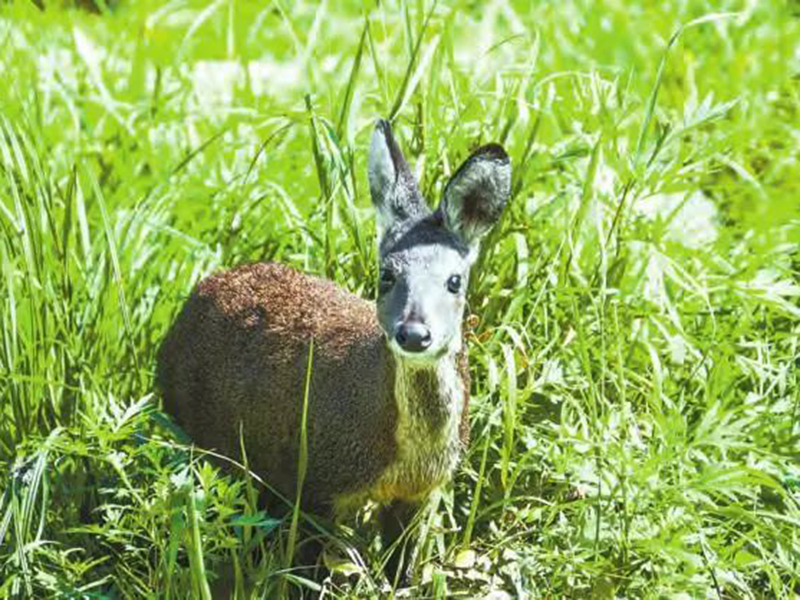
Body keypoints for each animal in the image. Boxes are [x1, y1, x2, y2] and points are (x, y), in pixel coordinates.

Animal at [155, 118, 512, 580]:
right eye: (385, 275)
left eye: (455, 280)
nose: (414, 333)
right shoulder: (315, 483)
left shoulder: (422, 493)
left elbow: (401, 573)